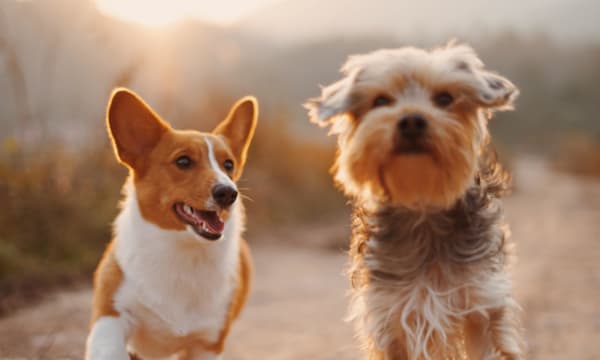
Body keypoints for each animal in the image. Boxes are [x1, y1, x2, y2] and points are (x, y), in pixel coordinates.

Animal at [83, 88, 256, 360]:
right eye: (183, 162)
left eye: (229, 165)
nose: (228, 193)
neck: (182, 251)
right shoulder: (111, 316)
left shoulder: (206, 344)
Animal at [308, 45, 524, 360]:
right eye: (380, 100)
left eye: (445, 98)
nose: (411, 120)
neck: (422, 204)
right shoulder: (390, 316)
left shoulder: (482, 303)